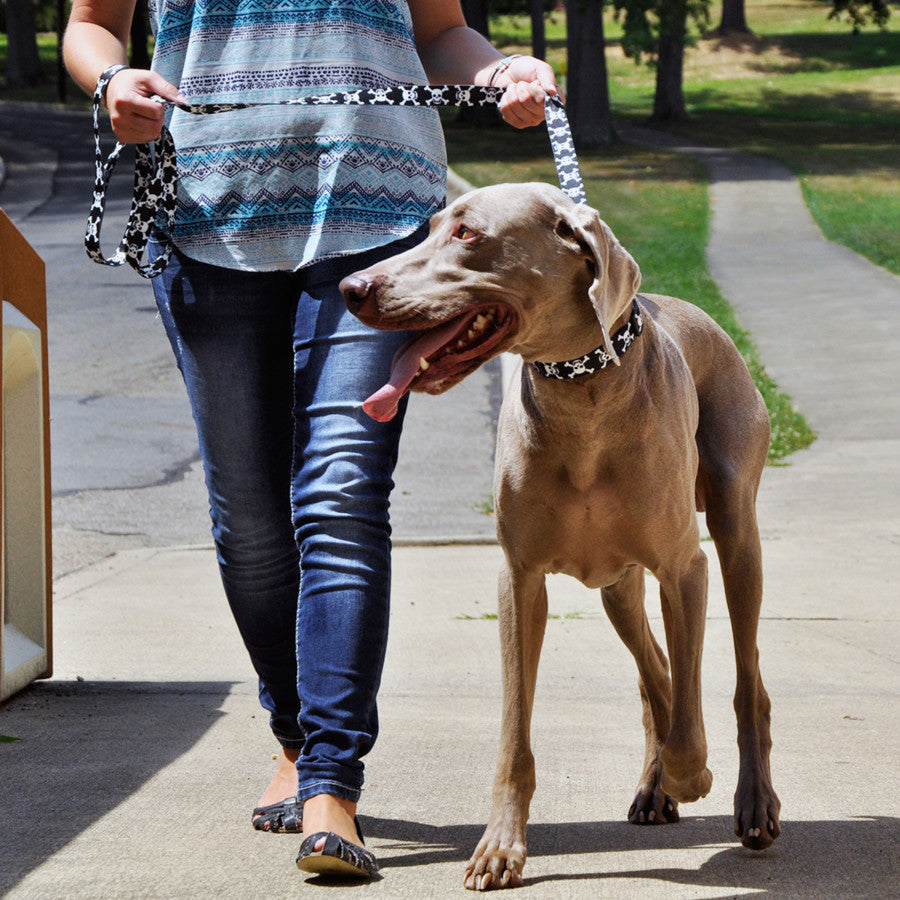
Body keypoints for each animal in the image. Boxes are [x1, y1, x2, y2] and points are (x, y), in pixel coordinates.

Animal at [342, 181, 776, 884]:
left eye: (467, 232)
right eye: (429, 227)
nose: (350, 287)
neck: (582, 399)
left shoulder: (684, 569)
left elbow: (690, 717)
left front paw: (694, 775)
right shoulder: (519, 578)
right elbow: (515, 733)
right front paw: (500, 847)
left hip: (736, 533)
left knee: (744, 682)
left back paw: (752, 802)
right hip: (618, 587)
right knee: (655, 673)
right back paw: (654, 786)